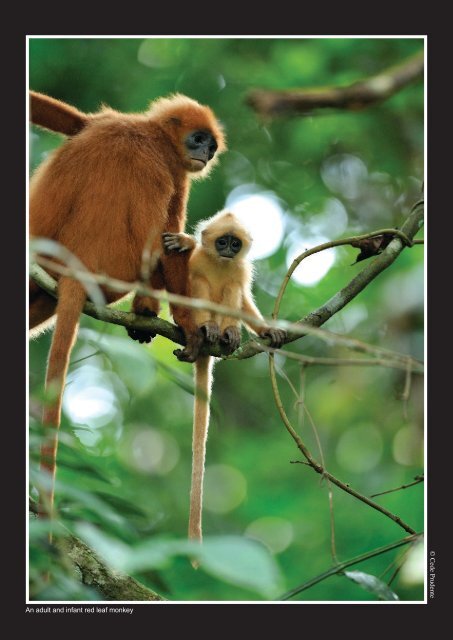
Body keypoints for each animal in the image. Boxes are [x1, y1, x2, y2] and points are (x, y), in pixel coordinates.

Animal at [29, 90, 224, 516]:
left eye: (211, 144)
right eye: (199, 139)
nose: (206, 152)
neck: (151, 134)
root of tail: (77, 268)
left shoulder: (110, 121)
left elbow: (67, 119)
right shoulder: (173, 171)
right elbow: (168, 242)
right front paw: (188, 327)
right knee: (165, 246)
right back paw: (147, 313)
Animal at [163, 211, 286, 552]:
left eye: (235, 243)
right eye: (222, 242)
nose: (229, 251)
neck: (219, 262)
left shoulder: (241, 270)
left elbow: (242, 297)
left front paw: (267, 330)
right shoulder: (195, 266)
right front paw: (185, 241)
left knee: (232, 291)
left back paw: (228, 333)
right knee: (201, 286)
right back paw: (208, 330)